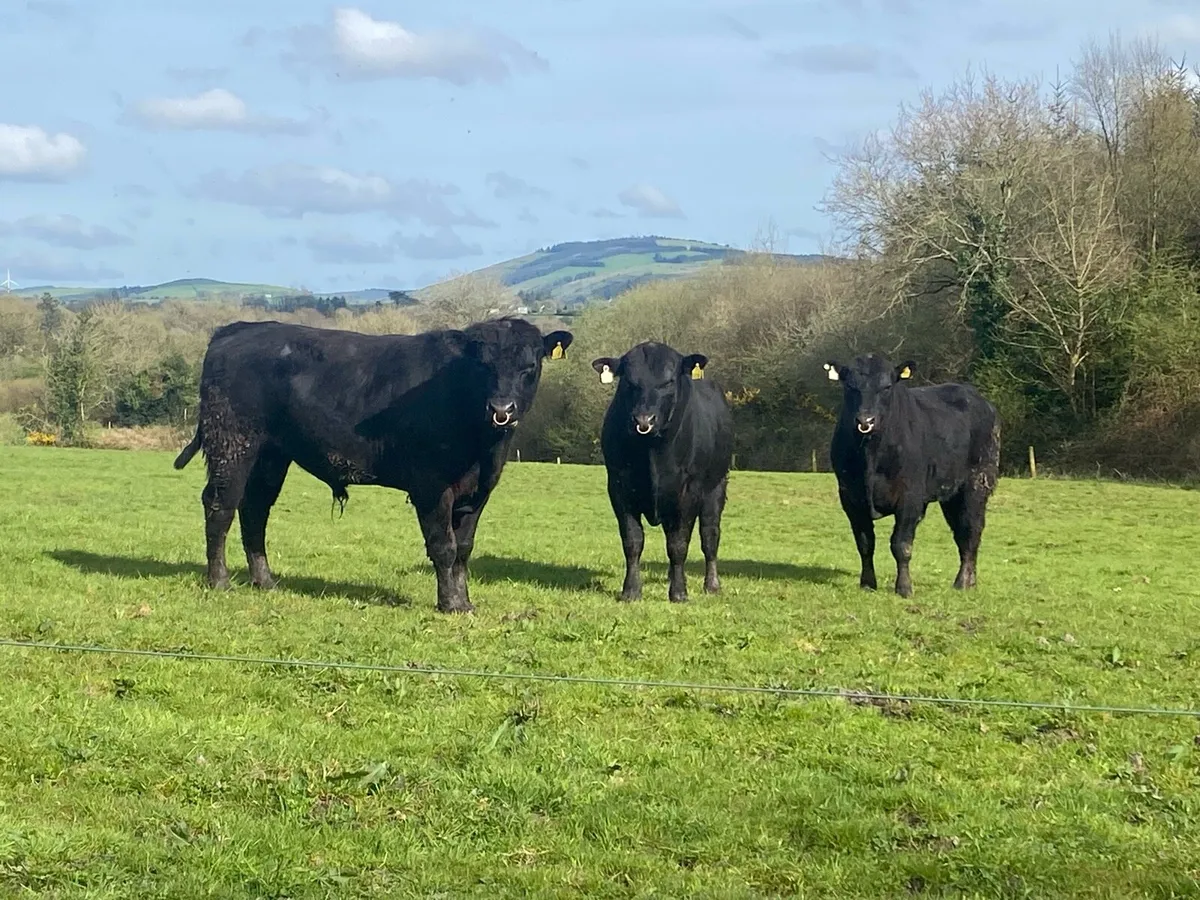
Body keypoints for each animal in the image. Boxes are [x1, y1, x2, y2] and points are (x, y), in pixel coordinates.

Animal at [173, 316, 573, 613]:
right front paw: (448, 604)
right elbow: (443, 546)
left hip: (270, 455)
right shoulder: (431, 486)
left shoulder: (478, 491)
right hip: (233, 443)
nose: (501, 410)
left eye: (530, 366)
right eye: (482, 365)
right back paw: (219, 580)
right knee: (220, 505)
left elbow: (463, 548)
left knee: (255, 510)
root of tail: (237, 329)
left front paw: (464, 602)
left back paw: (265, 581)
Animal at [590, 341, 734, 603]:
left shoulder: (689, 490)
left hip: (716, 486)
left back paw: (712, 585)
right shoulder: (618, 486)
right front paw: (631, 591)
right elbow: (632, 541)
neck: (652, 453)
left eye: (668, 381)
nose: (643, 420)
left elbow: (679, 544)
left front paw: (678, 593)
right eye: (629, 381)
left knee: (710, 536)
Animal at [824, 354, 1000, 598]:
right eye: (850, 386)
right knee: (961, 533)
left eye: (887, 387)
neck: (871, 455)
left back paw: (962, 582)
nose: (865, 421)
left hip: (977, 483)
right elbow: (865, 543)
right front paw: (868, 583)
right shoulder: (850, 497)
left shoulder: (910, 497)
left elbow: (901, 545)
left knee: (971, 531)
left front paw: (904, 588)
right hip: (950, 493)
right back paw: (970, 581)